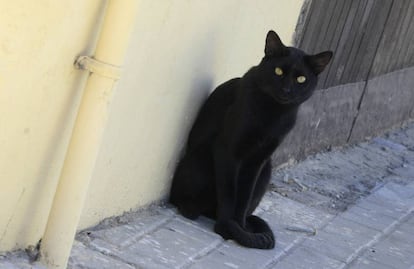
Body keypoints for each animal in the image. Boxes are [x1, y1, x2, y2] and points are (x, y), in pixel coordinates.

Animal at [170, 30, 332, 248]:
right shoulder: (228, 151)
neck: (274, 113)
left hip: (267, 169)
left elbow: (244, 196)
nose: (287, 90)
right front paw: (226, 227)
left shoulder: (257, 160)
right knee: (179, 196)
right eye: (278, 71)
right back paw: (191, 209)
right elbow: (229, 193)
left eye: (300, 79)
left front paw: (238, 227)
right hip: (202, 155)